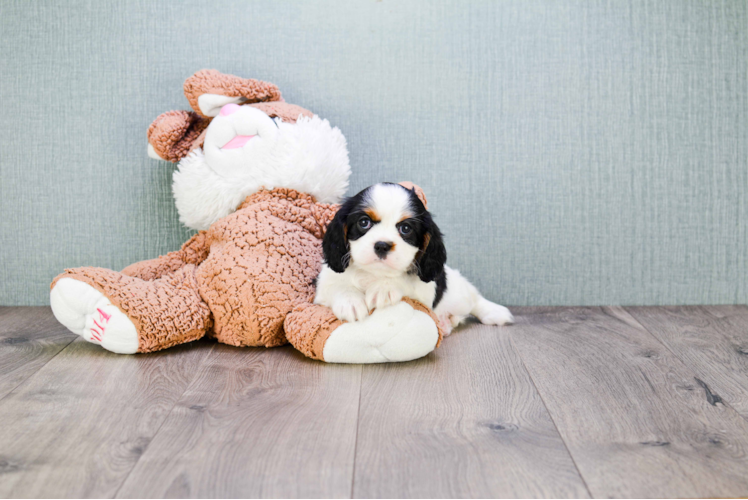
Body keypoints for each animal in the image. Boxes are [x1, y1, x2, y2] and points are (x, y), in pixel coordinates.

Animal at [312, 183, 516, 332]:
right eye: (364, 222)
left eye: (405, 229)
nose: (382, 245)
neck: (374, 274)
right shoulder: (324, 286)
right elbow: (337, 286)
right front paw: (350, 301)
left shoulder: (425, 291)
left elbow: (404, 280)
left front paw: (384, 288)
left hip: (459, 294)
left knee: (474, 298)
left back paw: (495, 312)